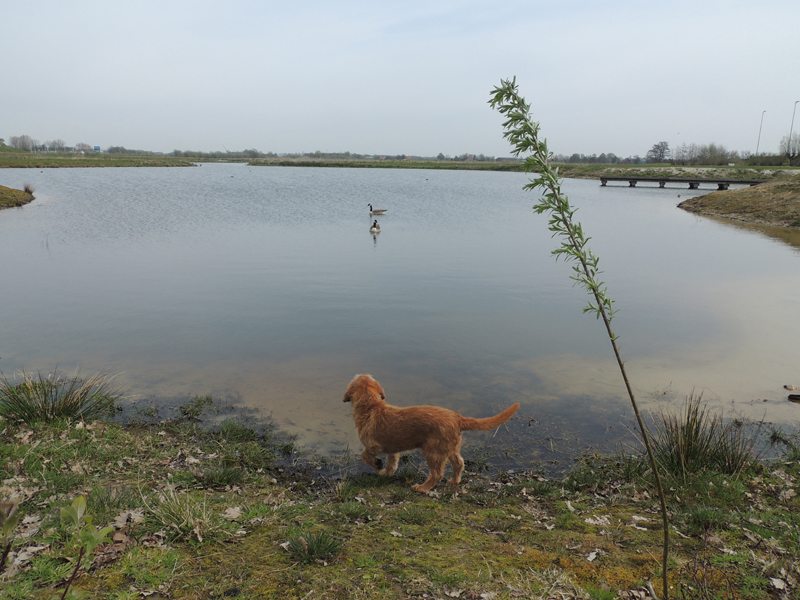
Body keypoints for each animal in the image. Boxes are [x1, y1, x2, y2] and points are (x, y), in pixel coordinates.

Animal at [342, 376, 520, 492]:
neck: (371, 406)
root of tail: (457, 418)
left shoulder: (374, 445)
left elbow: (365, 456)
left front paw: (377, 464)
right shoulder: (393, 449)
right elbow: (392, 462)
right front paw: (386, 472)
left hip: (432, 451)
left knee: (437, 473)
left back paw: (422, 488)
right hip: (449, 448)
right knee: (459, 463)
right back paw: (454, 481)